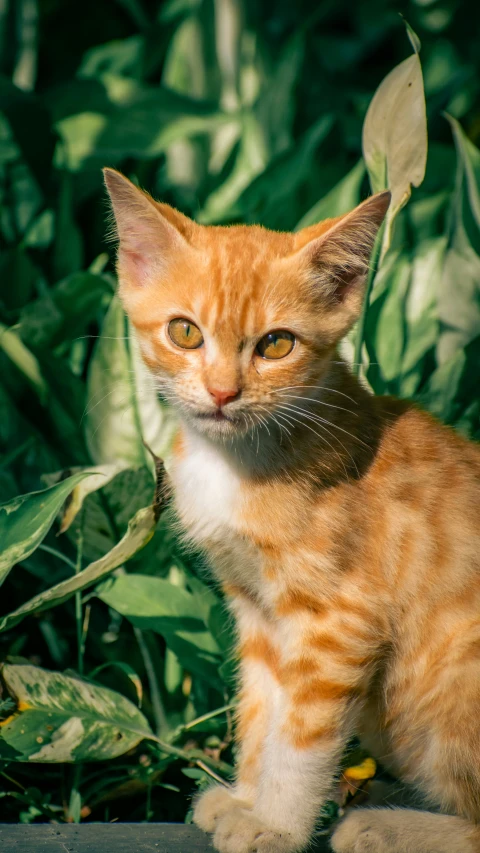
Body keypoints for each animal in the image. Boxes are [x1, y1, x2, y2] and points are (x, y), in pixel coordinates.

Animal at [103, 168, 478, 852]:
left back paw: (383, 824)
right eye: (185, 332)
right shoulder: (259, 614)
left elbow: (302, 738)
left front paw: (277, 823)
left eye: (276, 344)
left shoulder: (340, 623)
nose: (223, 392)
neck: (237, 461)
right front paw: (248, 798)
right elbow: (262, 713)